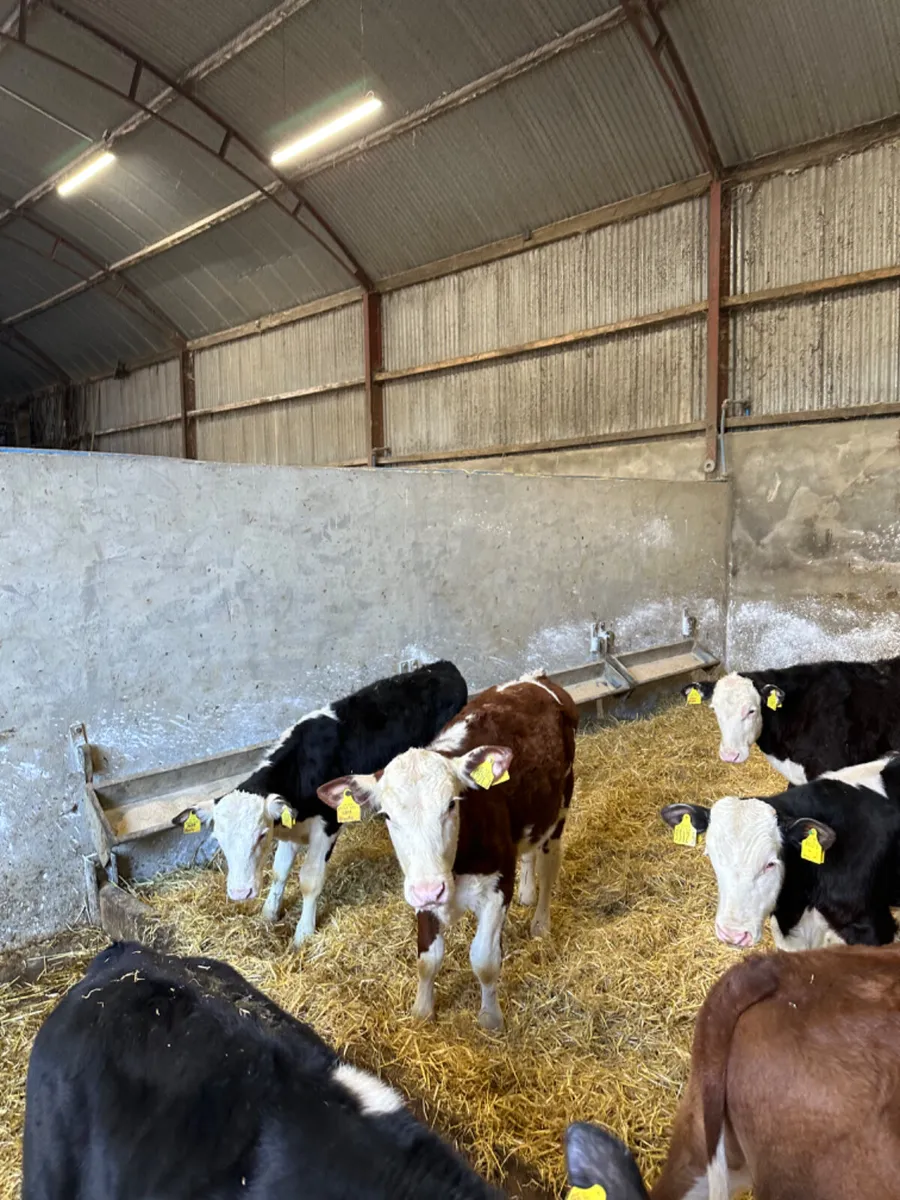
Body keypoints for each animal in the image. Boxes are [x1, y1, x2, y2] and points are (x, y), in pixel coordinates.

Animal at [173, 661, 467, 947]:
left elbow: (309, 880)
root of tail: (442, 666)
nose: (239, 892)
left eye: (261, 835)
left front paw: (303, 933)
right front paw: (269, 912)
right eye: (219, 839)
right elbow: (280, 871)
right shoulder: (291, 824)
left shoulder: (328, 824)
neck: (301, 767)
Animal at [316, 672, 578, 1031]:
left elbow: (484, 960)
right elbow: (427, 959)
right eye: (387, 815)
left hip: (560, 805)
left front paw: (490, 1018)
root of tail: (534, 679)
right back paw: (527, 891)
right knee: (529, 850)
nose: (432, 889)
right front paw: (423, 1011)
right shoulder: (421, 886)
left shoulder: (496, 887)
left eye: (452, 804)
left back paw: (540, 921)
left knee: (549, 865)